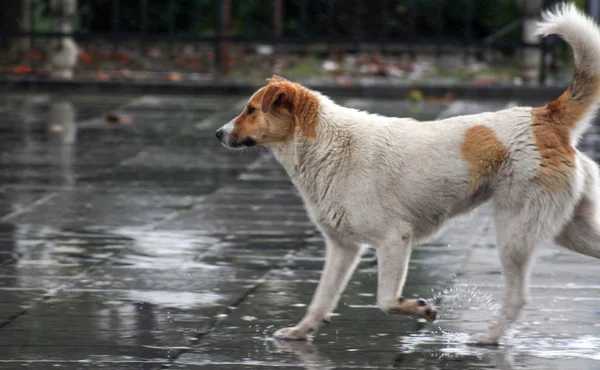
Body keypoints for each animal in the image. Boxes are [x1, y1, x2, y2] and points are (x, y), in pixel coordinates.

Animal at [216, 2, 600, 344]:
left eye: (250, 110)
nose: (218, 133)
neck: (327, 144)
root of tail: (544, 117)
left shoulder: (394, 239)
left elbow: (386, 300)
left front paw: (421, 310)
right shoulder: (343, 248)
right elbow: (321, 300)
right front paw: (299, 333)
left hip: (514, 233)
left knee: (517, 297)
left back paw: (487, 338)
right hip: (566, 229)